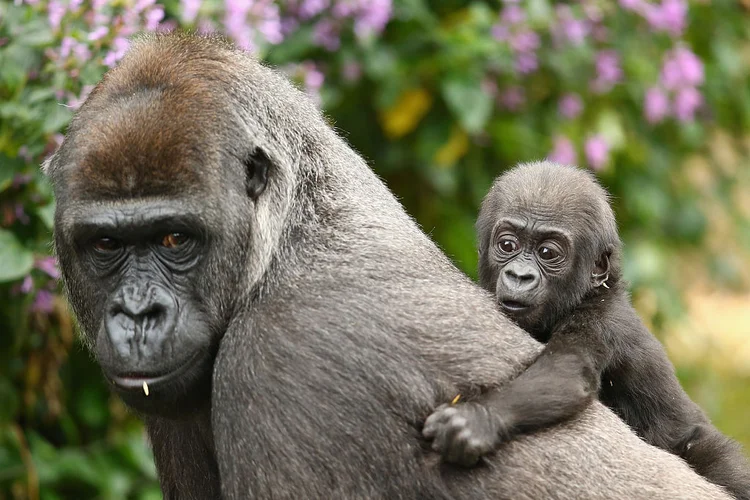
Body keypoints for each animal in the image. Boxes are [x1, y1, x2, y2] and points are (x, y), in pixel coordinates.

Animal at [424, 162, 750, 498]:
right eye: (507, 245)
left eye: (548, 253)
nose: (519, 276)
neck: (589, 293)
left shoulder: (600, 321)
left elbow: (567, 371)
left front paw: (479, 418)